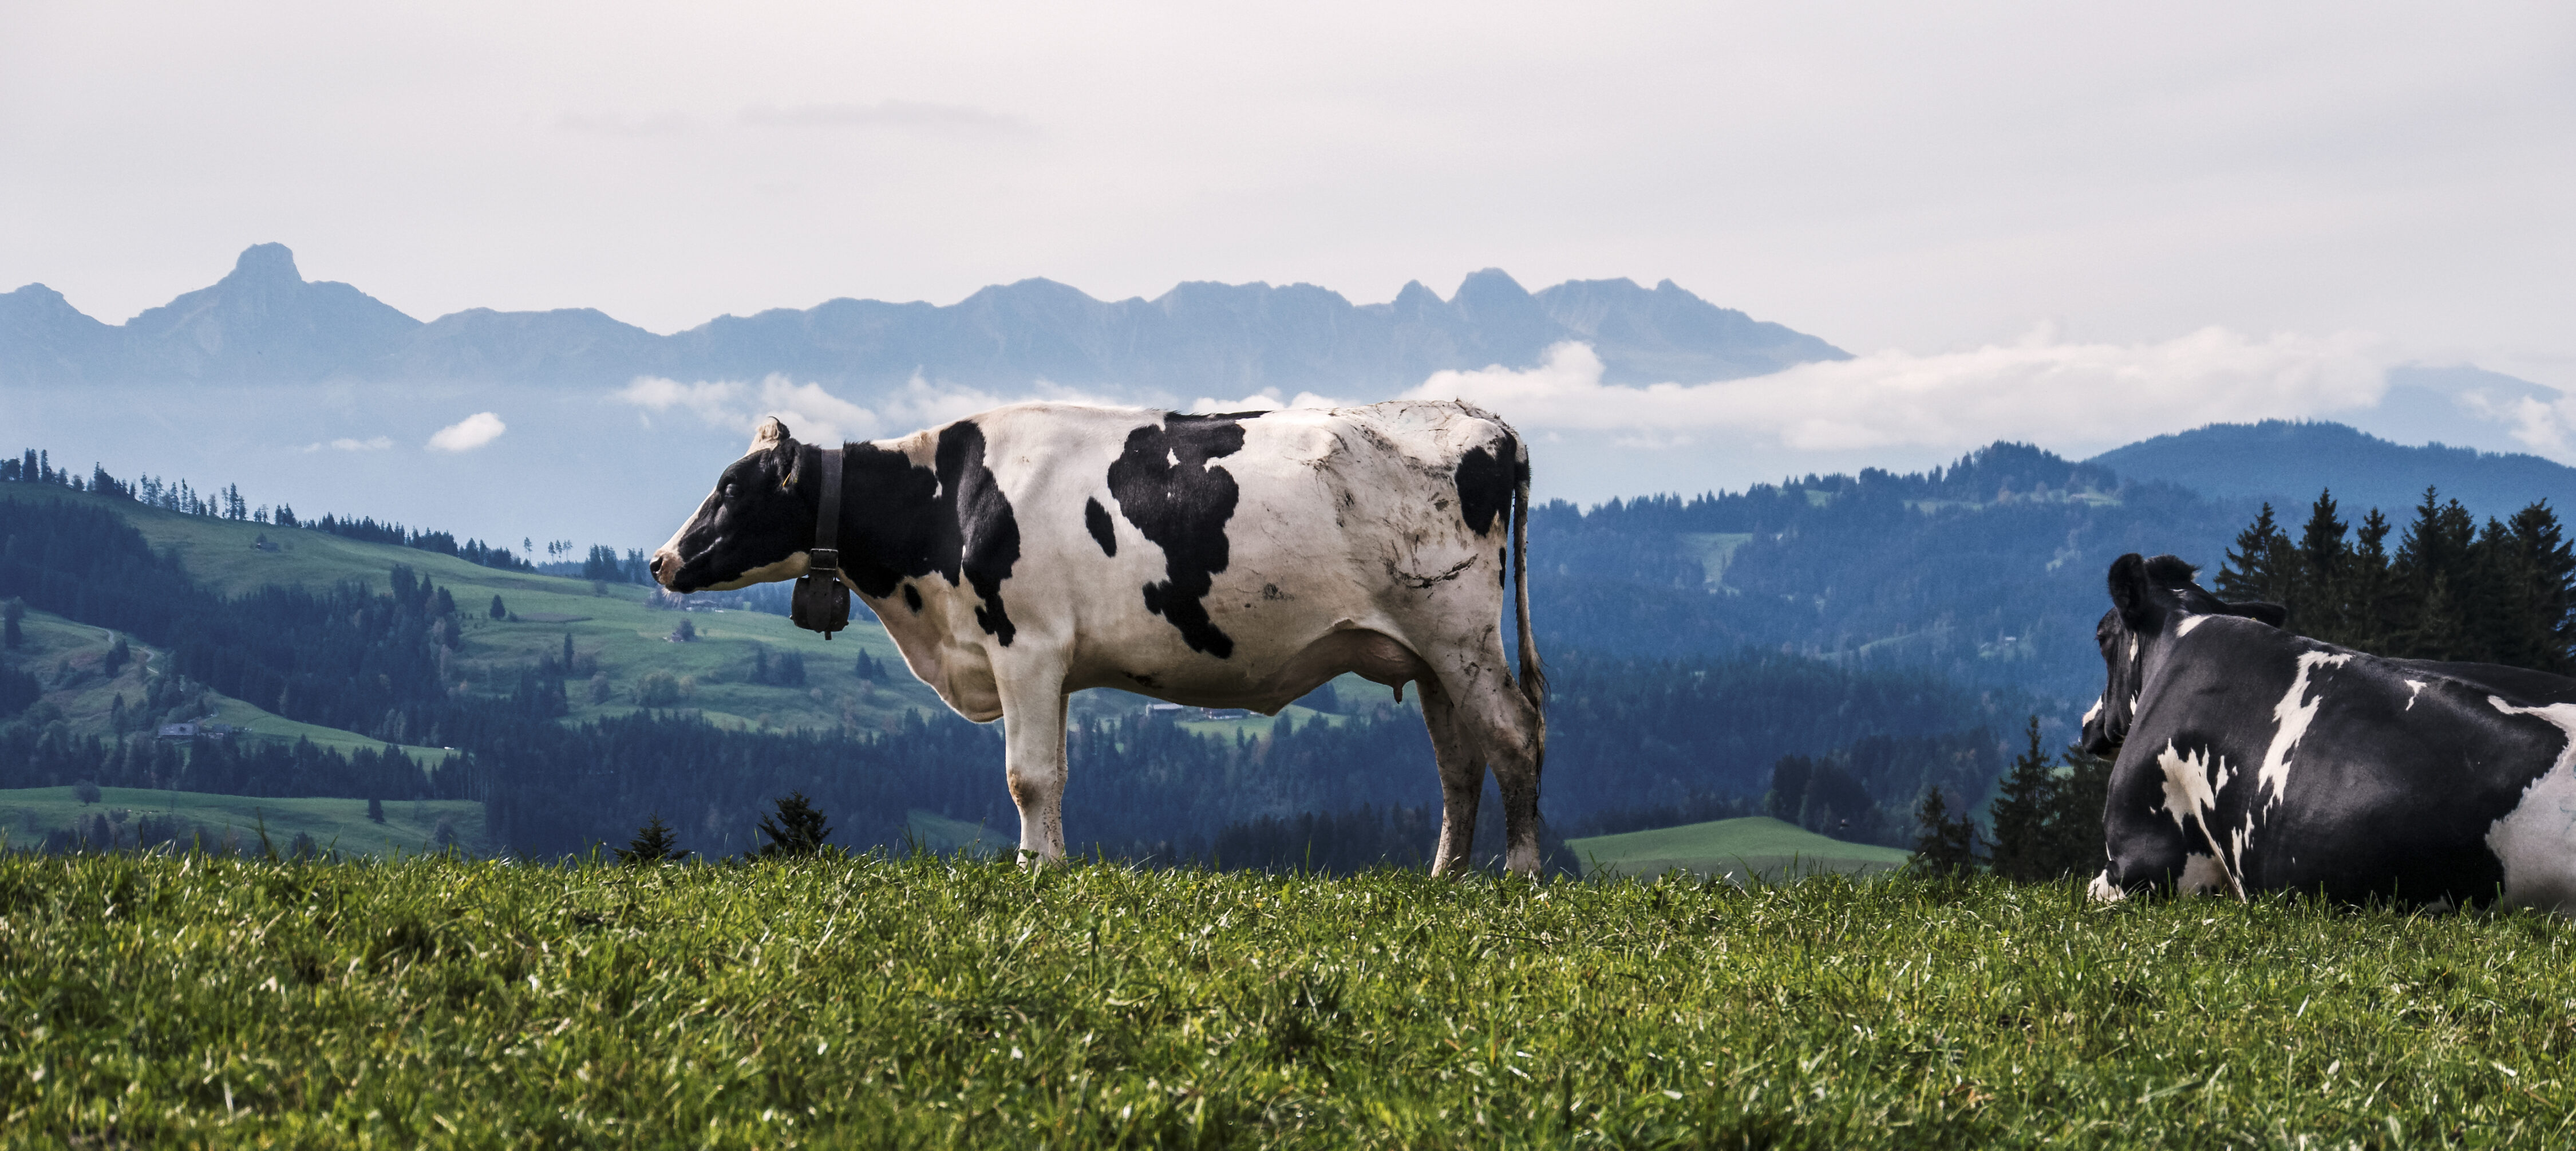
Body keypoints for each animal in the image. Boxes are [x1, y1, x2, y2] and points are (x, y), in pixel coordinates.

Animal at [649, 400, 1549, 875]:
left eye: (730, 487)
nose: (661, 560)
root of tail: (1484, 422)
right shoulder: (1050, 662)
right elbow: (1054, 776)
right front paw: (1047, 865)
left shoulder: (1025, 645)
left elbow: (1028, 776)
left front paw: (1033, 871)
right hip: (1428, 656)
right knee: (1459, 763)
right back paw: (1443, 878)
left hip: (1461, 636)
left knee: (1513, 736)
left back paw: (1521, 874)